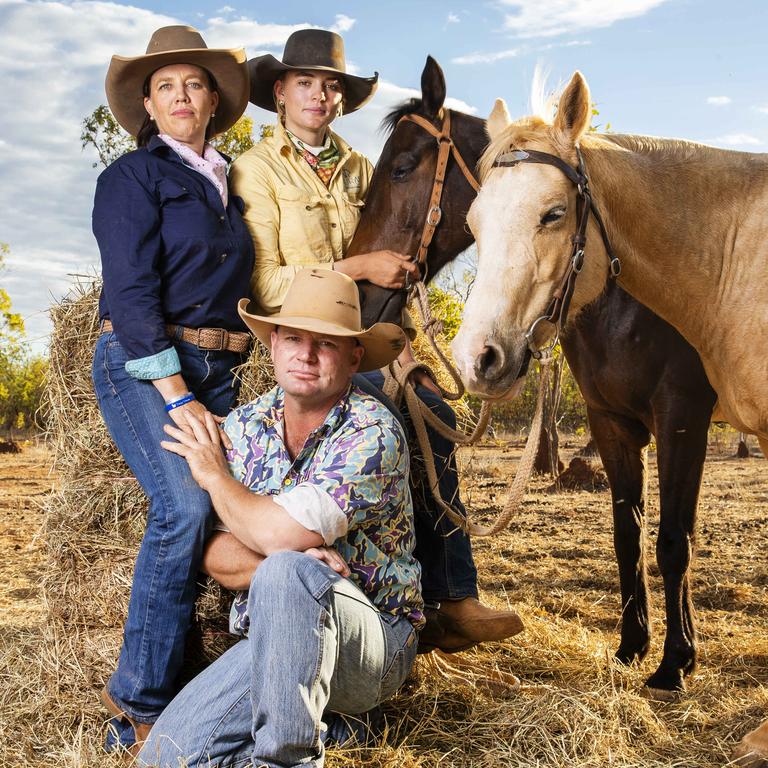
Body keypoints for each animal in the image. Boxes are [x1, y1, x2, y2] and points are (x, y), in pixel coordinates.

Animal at [450, 72, 768, 768]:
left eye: (553, 213)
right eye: (474, 222)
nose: (478, 359)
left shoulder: (682, 419)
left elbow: (673, 542)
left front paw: (673, 666)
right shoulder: (612, 425)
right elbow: (629, 538)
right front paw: (635, 649)